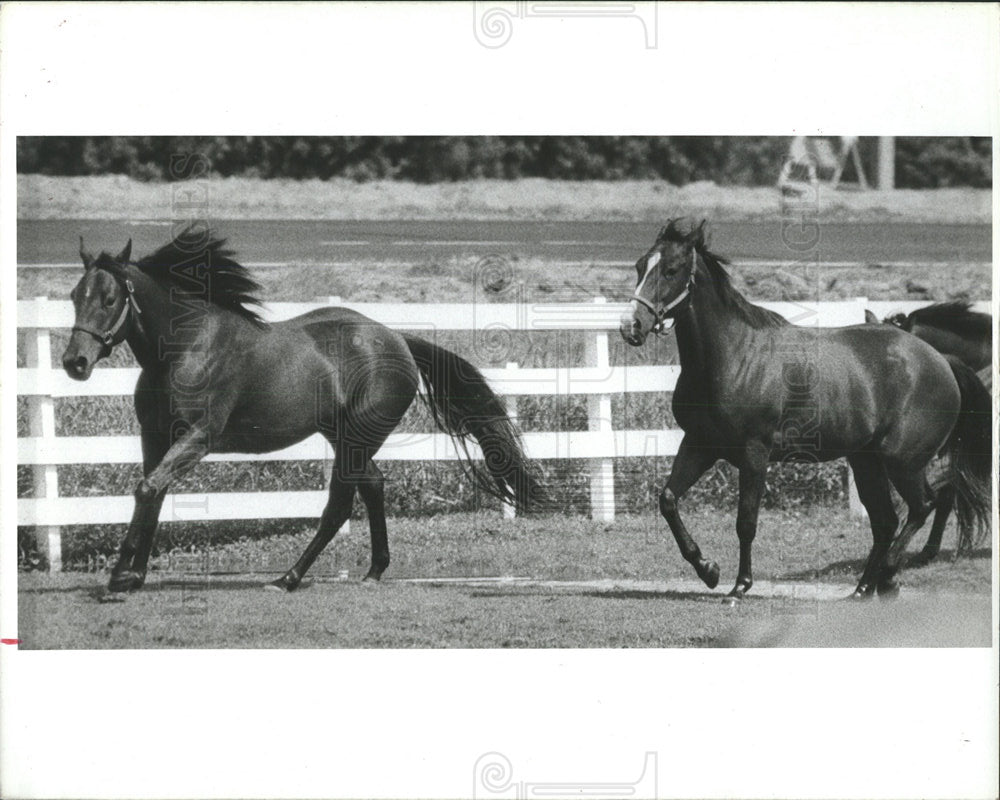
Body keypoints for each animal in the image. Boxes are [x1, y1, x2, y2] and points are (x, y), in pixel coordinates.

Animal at [64, 225, 540, 592]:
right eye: (74, 296)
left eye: (110, 299)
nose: (75, 362)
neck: (184, 350)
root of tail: (397, 340)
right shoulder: (156, 437)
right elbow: (153, 492)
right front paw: (133, 575)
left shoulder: (198, 437)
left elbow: (147, 489)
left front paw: (120, 577)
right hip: (345, 438)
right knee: (374, 484)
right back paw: (373, 571)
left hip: (355, 440)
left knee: (338, 506)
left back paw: (288, 578)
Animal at [620, 219, 988, 600]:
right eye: (639, 266)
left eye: (672, 270)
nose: (631, 326)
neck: (735, 357)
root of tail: (941, 361)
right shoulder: (699, 444)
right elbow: (668, 500)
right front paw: (708, 570)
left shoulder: (755, 453)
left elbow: (746, 522)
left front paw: (739, 586)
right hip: (866, 460)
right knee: (886, 521)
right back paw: (863, 589)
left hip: (903, 461)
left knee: (924, 505)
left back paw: (888, 578)